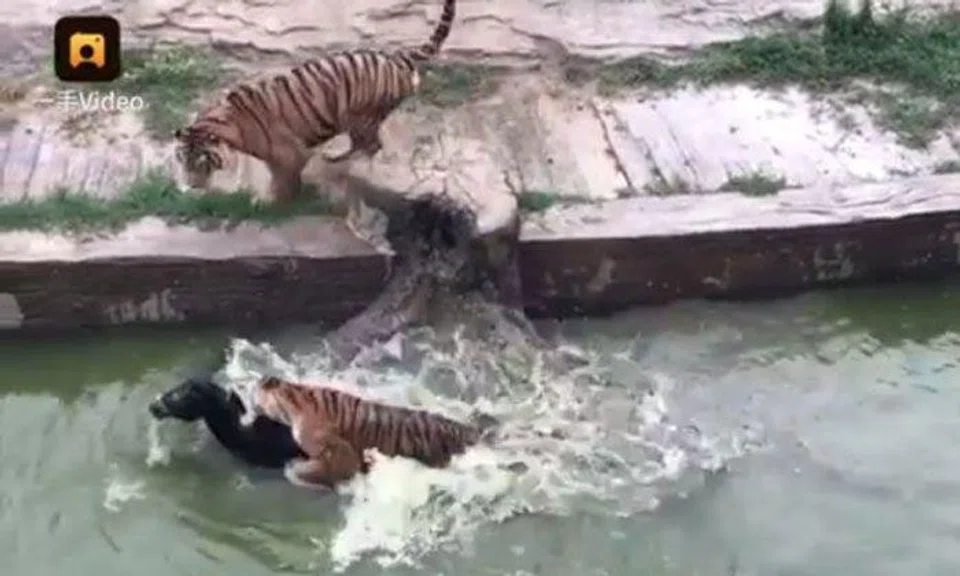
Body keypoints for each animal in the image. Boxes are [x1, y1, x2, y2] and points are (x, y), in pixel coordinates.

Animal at [173, 0, 457, 205]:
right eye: (182, 160)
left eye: (202, 163)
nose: (193, 186)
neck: (231, 126)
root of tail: (397, 58)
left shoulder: (290, 154)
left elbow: (284, 180)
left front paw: (274, 202)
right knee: (362, 144)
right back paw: (334, 156)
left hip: (361, 117)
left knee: (371, 145)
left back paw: (348, 163)